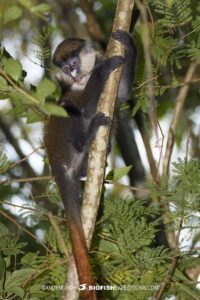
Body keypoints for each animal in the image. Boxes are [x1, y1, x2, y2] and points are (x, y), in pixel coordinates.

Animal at [44, 28, 137, 300]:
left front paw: (129, 45)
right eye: (66, 68)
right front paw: (103, 68)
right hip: (61, 144)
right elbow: (81, 103)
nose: (75, 75)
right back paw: (86, 139)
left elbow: (122, 93)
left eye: (74, 64)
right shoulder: (76, 91)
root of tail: (55, 163)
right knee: (67, 110)